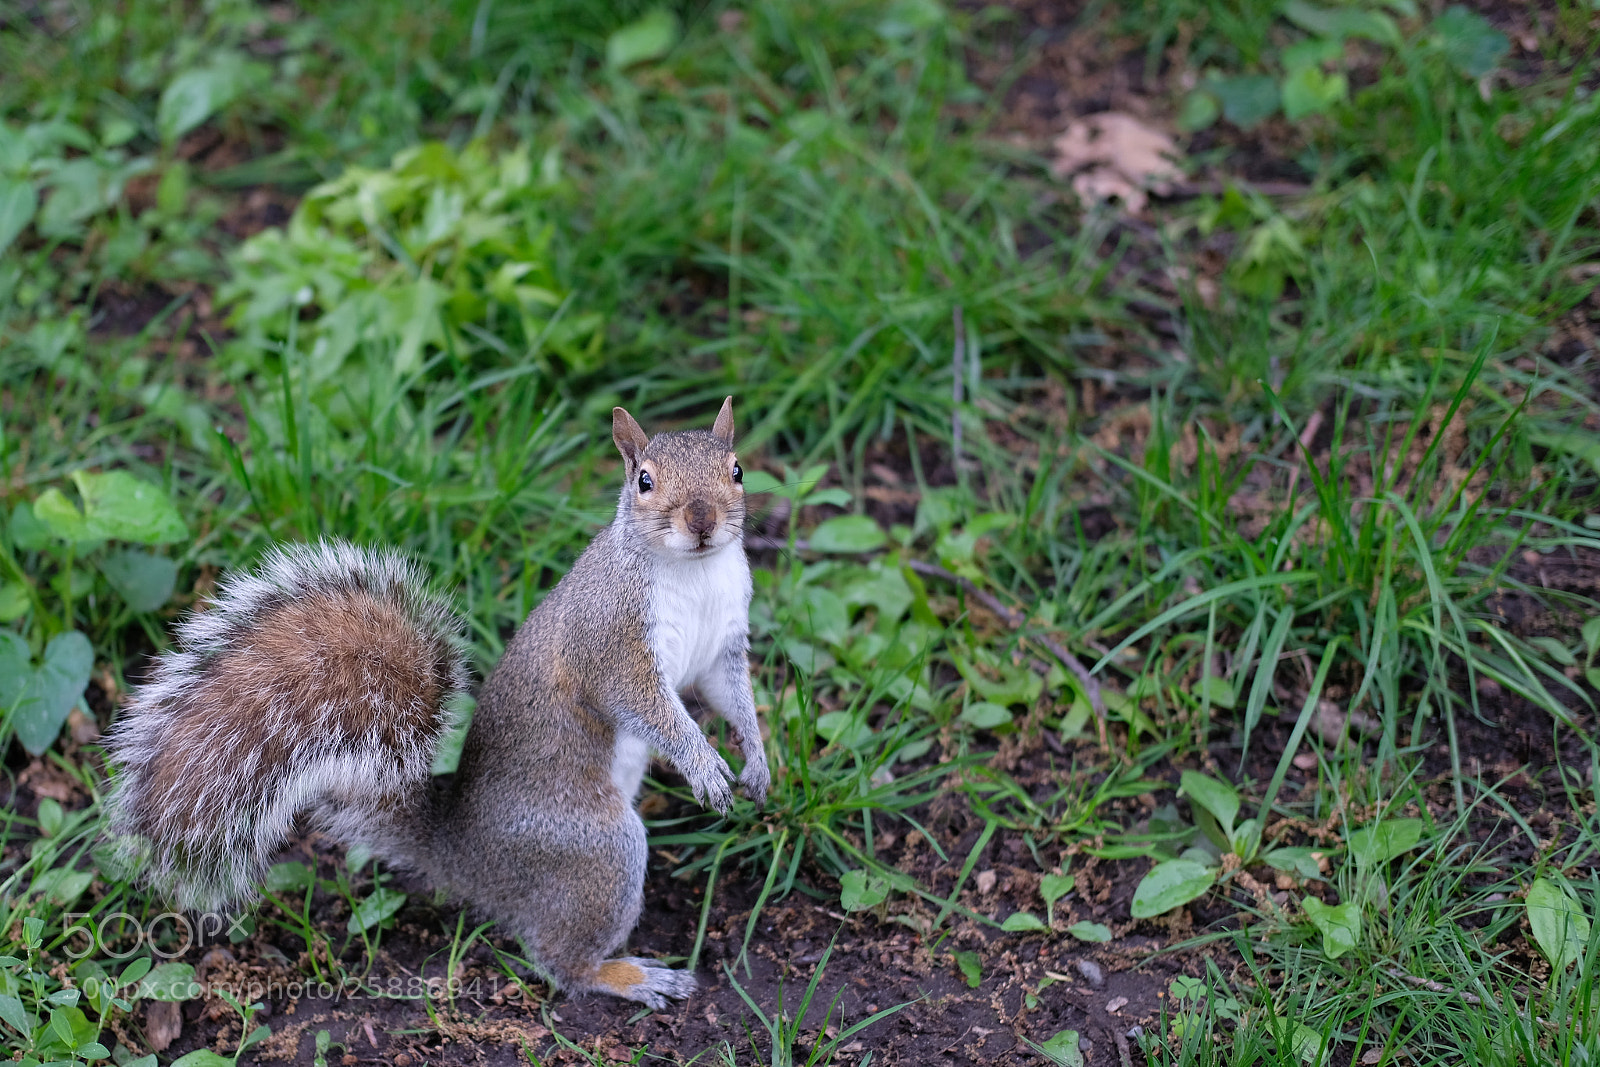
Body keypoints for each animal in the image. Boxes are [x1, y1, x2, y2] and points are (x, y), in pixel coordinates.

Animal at [107, 398, 769, 1009]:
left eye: (737, 469)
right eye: (644, 481)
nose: (702, 520)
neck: (695, 571)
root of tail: (464, 854)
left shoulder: (723, 647)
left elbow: (730, 694)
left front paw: (757, 762)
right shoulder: (609, 645)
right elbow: (647, 707)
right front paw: (704, 766)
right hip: (596, 851)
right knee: (559, 961)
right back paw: (625, 976)